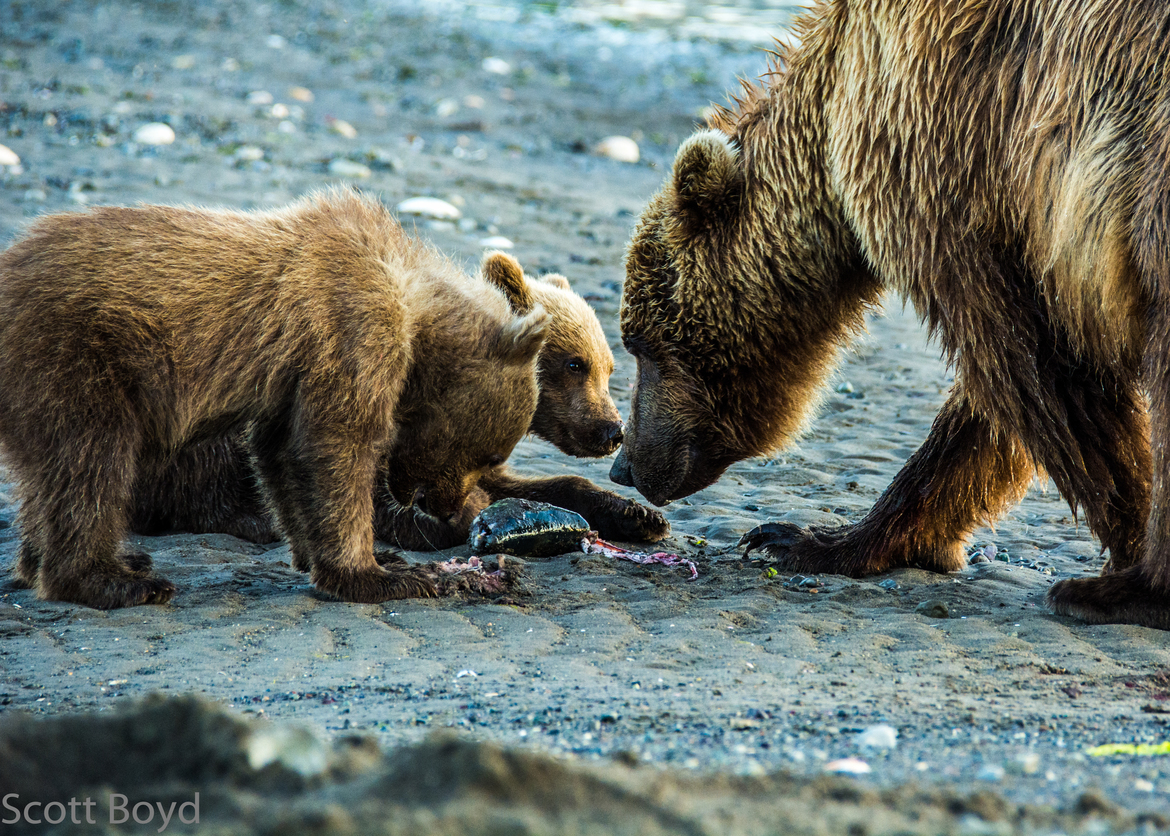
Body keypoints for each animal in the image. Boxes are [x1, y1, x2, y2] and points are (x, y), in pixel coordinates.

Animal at [0, 190, 548, 608]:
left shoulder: (295, 376)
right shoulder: (351, 329)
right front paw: (382, 573)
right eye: (491, 454)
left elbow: (284, 454)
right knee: (92, 464)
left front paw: (343, 556)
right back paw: (116, 580)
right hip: (77, 358)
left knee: (51, 477)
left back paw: (72, 561)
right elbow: (337, 445)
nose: (450, 510)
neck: (415, 306)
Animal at [610, 0, 1170, 629]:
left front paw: (1130, 556)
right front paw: (820, 539)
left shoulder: (946, 152)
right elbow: (993, 405)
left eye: (640, 342)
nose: (623, 465)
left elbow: (1035, 365)